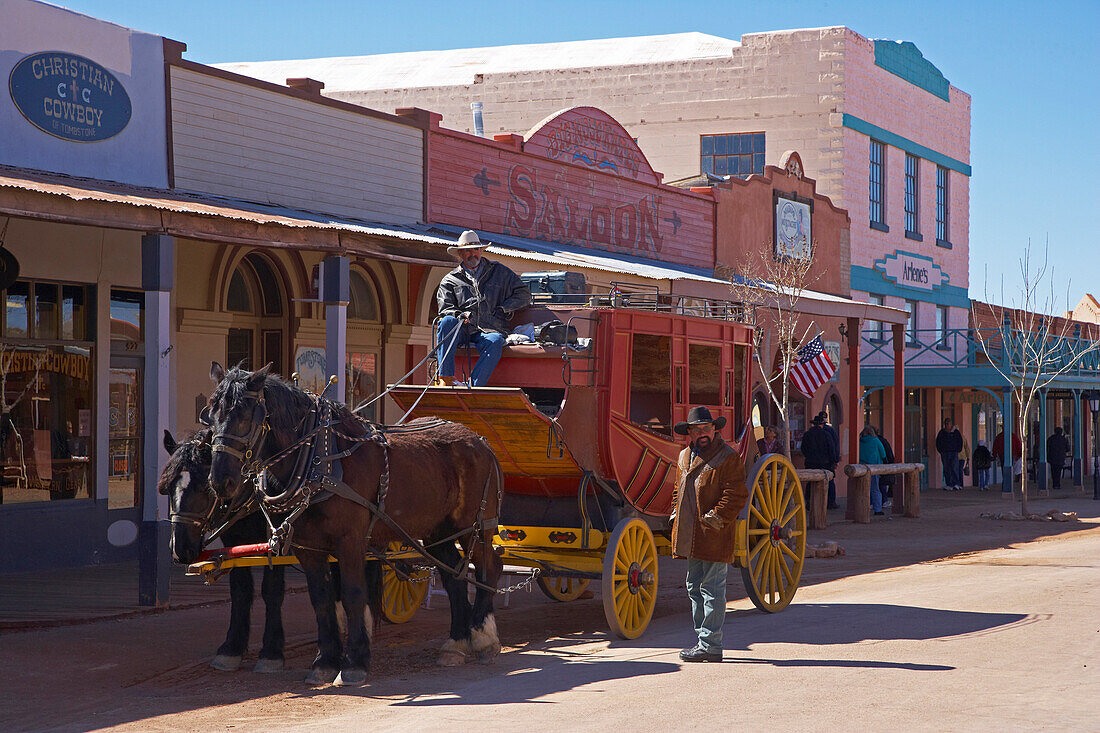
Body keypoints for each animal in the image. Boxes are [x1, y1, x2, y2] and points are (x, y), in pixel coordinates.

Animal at [204, 360, 503, 686]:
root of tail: (480, 440)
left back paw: (484, 636)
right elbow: (322, 600)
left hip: (476, 525)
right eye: (211, 416)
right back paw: (455, 644)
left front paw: (355, 662)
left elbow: (352, 595)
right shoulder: (309, 547)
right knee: (454, 577)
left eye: (245, 415)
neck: (319, 458)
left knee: (489, 567)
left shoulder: (350, 541)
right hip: (438, 531)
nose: (221, 481)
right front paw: (324, 661)